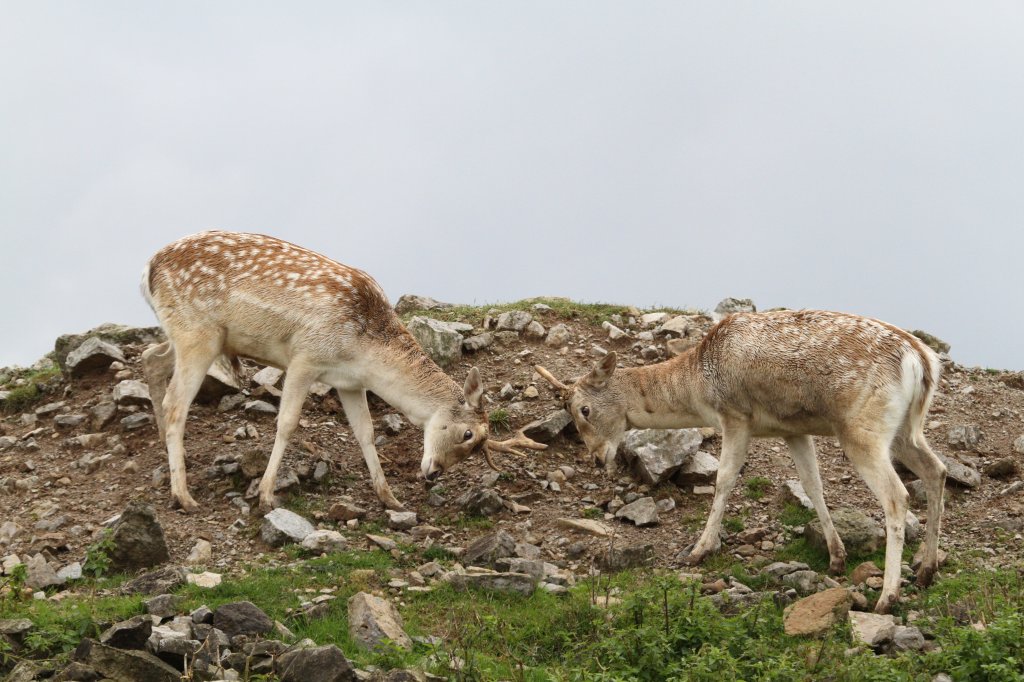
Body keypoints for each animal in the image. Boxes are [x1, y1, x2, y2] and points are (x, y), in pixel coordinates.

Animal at [143, 228, 544, 509]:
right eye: (467, 435)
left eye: (474, 449)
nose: (433, 473)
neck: (363, 352)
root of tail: (148, 269)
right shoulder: (304, 357)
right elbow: (287, 423)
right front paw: (266, 495)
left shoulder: (349, 383)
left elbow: (365, 433)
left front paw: (390, 498)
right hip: (198, 334)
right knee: (176, 404)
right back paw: (183, 496)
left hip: (186, 334)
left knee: (151, 356)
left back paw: (165, 455)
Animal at [540, 307, 946, 610]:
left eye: (584, 410)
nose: (597, 458)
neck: (699, 387)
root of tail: (921, 361)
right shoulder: (792, 429)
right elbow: (812, 486)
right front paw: (836, 557)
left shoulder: (736, 417)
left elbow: (724, 479)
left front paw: (698, 551)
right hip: (905, 431)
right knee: (937, 471)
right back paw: (926, 571)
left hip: (863, 430)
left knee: (897, 496)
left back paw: (887, 597)